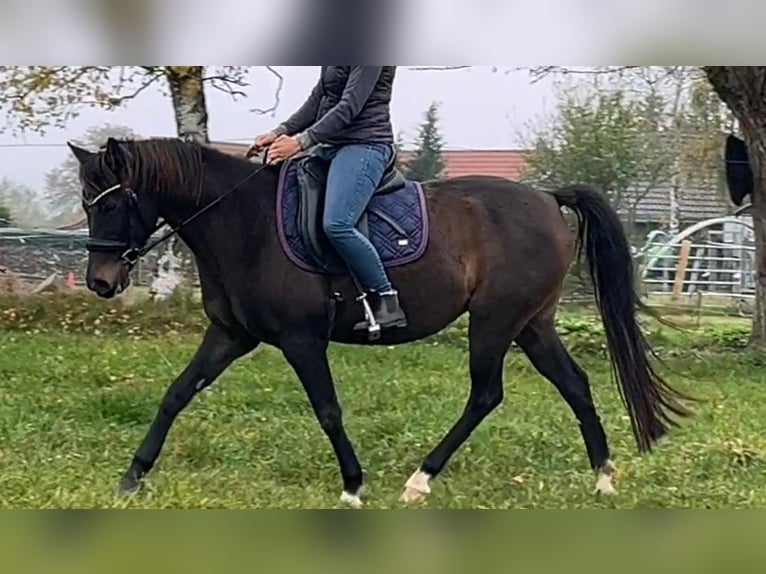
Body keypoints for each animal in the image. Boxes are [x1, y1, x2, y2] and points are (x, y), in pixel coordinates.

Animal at [67, 138, 696, 508]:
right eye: (88, 201)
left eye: (112, 203)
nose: (100, 282)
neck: (244, 224)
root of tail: (546, 198)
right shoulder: (231, 336)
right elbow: (176, 394)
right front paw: (133, 477)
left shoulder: (300, 340)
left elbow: (327, 410)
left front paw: (353, 485)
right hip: (532, 323)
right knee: (575, 385)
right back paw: (603, 476)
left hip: (495, 321)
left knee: (486, 394)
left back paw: (422, 479)